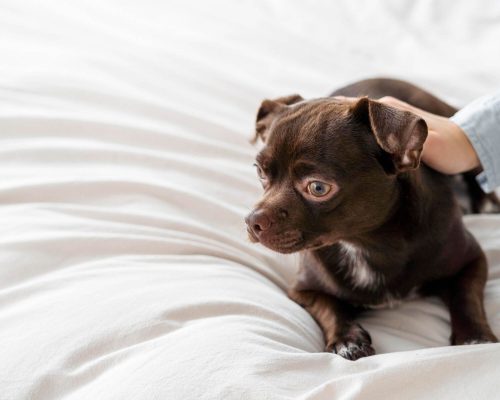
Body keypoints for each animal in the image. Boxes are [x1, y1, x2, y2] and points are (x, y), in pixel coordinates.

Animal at [247, 77, 500, 360]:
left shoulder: (471, 260)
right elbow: (329, 308)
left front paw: (475, 338)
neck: (365, 242)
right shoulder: (304, 289)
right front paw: (347, 339)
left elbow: (466, 297)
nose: (252, 220)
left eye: (318, 188)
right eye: (260, 172)